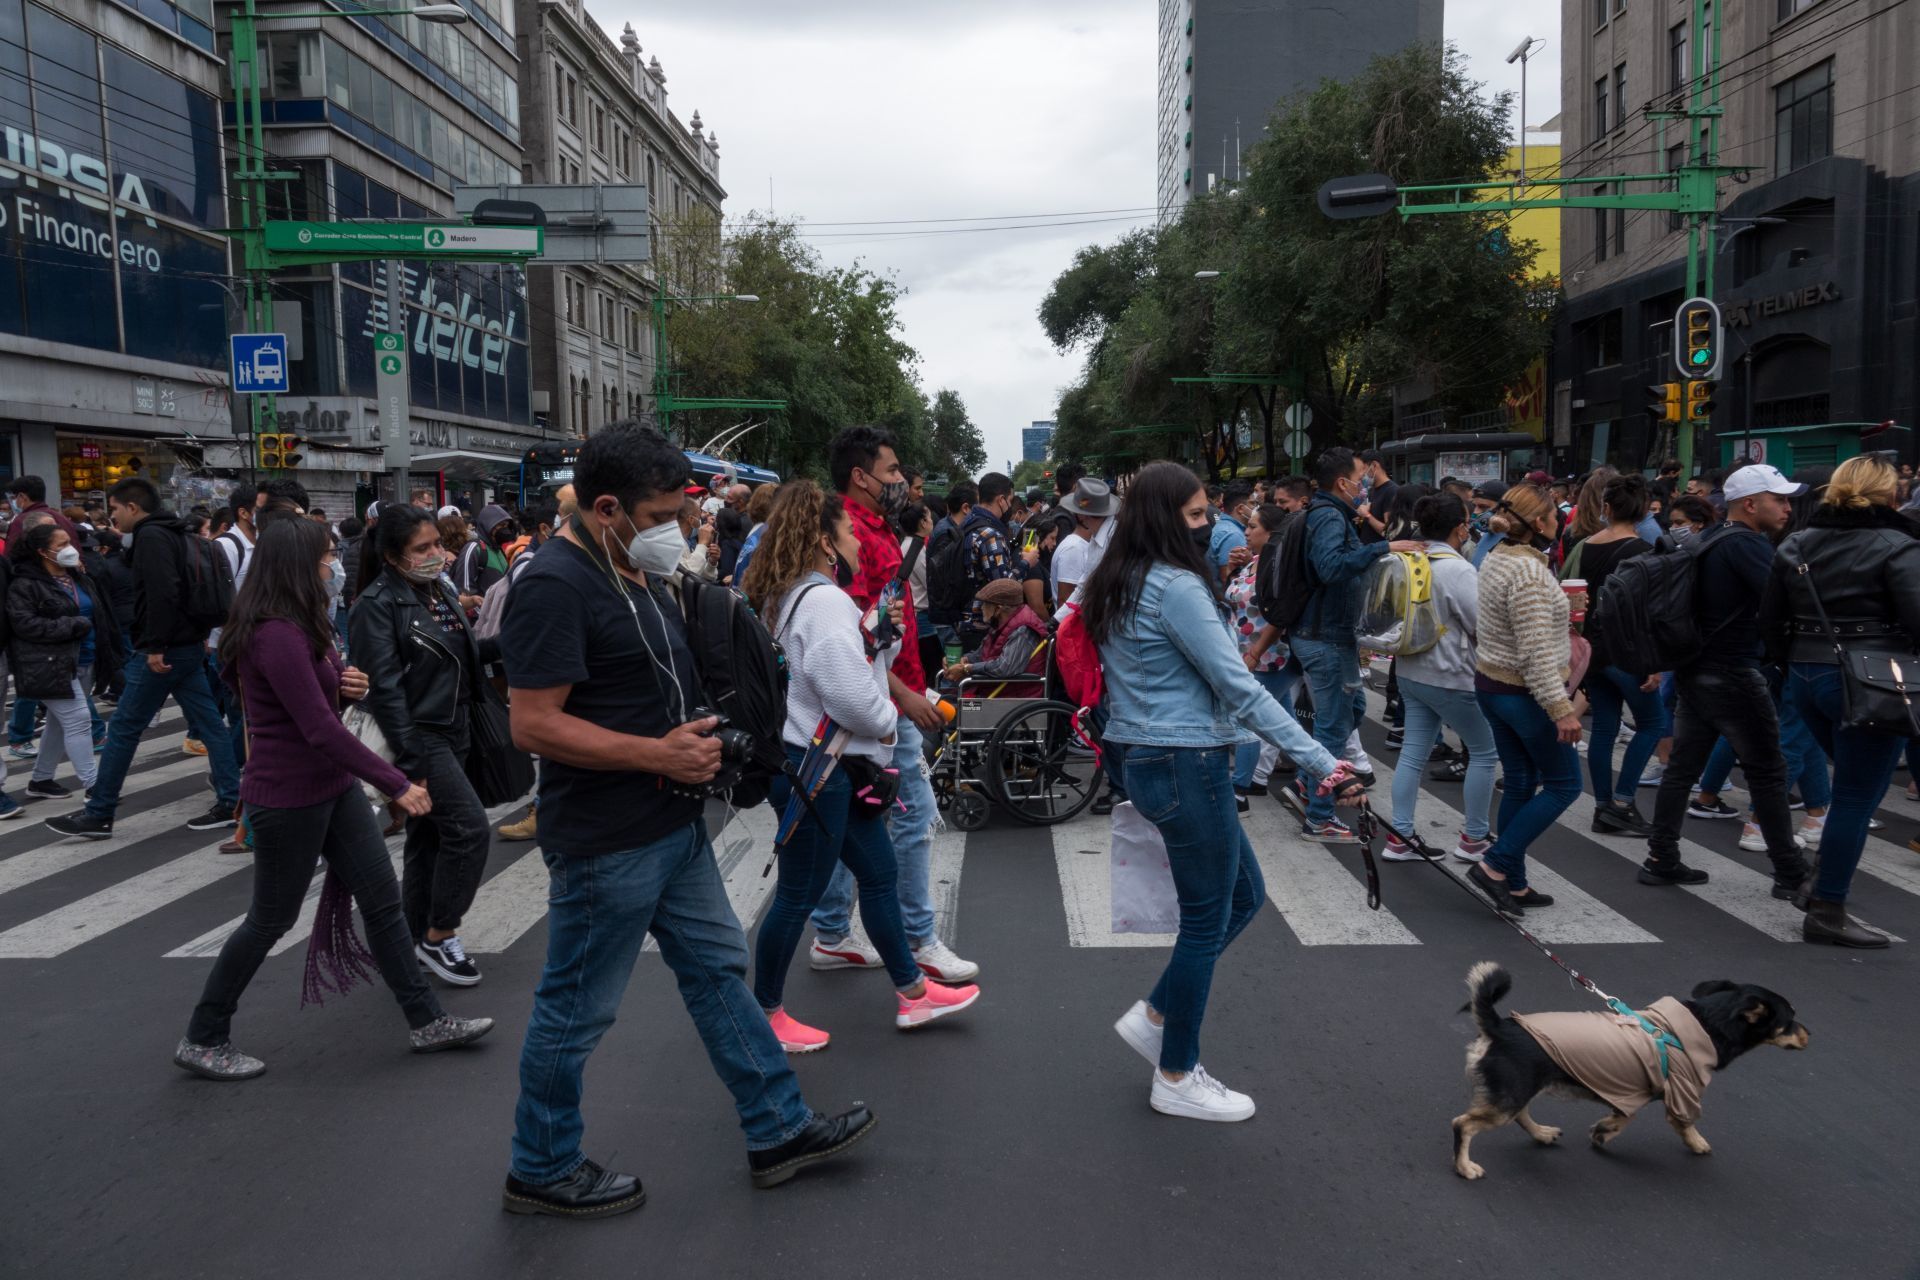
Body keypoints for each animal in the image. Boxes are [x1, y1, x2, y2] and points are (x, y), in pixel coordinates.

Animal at [1451, 959, 1812, 1182]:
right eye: (1790, 1019)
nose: (1810, 1033)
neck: (1708, 1022)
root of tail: (1499, 1027)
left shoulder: (1630, 1092)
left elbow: (1624, 1116)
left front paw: (1604, 1130)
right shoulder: (1679, 1097)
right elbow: (1682, 1124)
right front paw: (1697, 1144)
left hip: (1517, 1091)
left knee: (1521, 1114)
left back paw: (1541, 1133)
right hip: (1508, 1097)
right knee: (1462, 1124)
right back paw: (1464, 1166)